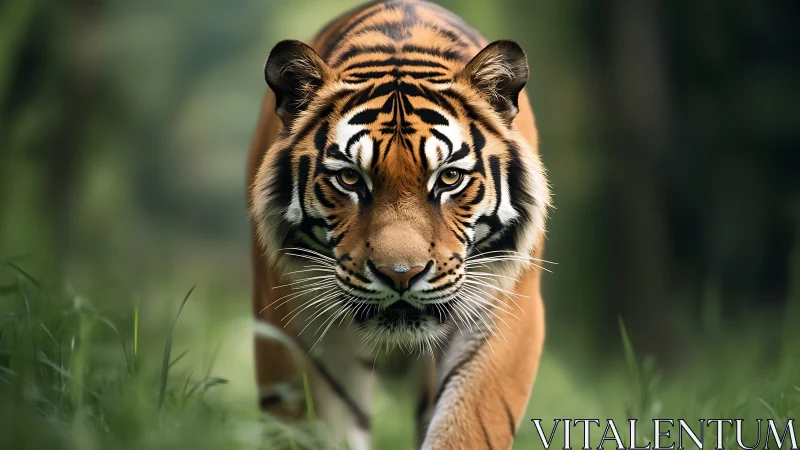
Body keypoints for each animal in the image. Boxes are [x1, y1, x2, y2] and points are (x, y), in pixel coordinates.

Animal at [246, 1, 551, 448]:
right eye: (350, 178)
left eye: (449, 178)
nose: (401, 275)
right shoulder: (293, 326)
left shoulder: (505, 306)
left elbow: (466, 426)